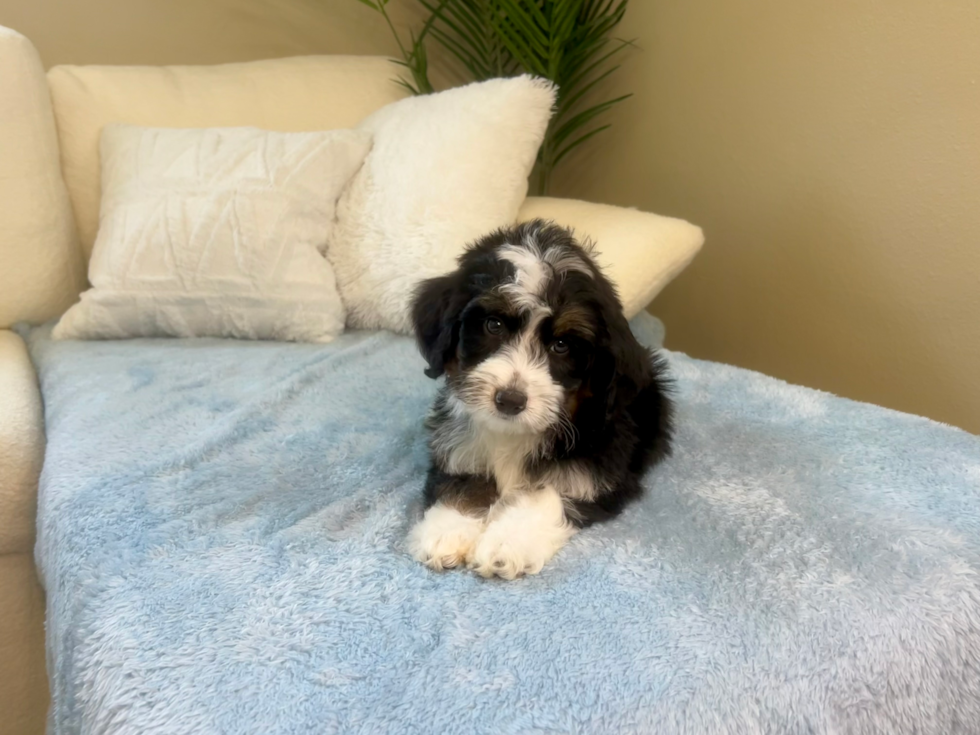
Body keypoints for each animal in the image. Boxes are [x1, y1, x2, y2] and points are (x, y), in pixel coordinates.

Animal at [408, 218, 672, 580]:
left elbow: (551, 492)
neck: (515, 433)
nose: (510, 400)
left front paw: (508, 542)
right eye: (493, 325)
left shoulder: (605, 466)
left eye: (561, 345)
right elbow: (462, 480)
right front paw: (448, 530)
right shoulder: (456, 447)